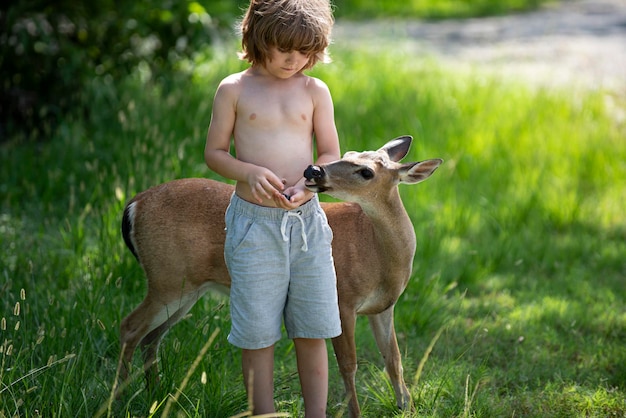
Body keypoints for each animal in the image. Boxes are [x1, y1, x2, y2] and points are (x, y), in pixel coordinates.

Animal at [117, 136, 438, 416]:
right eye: (347, 154)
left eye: (366, 171)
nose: (314, 170)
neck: (379, 257)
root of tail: (133, 205)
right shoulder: (342, 298)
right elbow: (349, 364)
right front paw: (357, 414)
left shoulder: (383, 307)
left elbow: (393, 359)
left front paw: (407, 409)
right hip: (166, 278)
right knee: (130, 326)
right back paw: (120, 399)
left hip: (186, 288)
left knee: (151, 337)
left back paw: (154, 395)